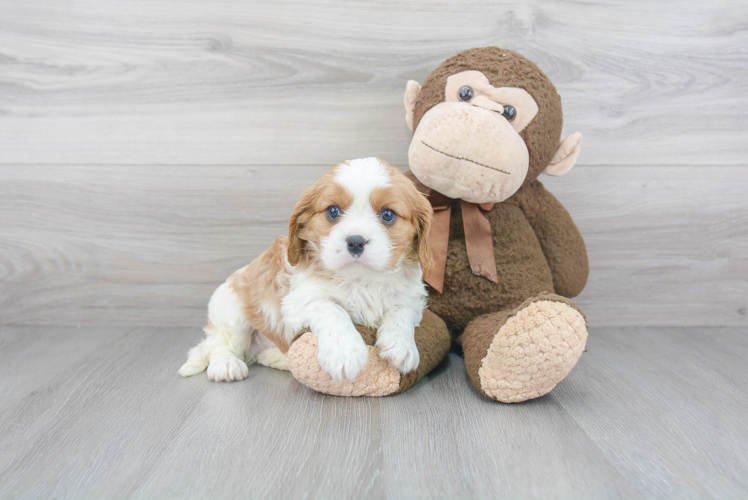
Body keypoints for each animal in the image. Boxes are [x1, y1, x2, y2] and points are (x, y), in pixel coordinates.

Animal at [180, 158, 432, 380]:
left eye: (388, 214)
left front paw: (401, 346)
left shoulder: (412, 299)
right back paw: (226, 365)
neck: (361, 279)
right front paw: (345, 353)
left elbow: (401, 312)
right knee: (219, 345)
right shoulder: (299, 300)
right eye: (332, 211)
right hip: (231, 313)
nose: (355, 242)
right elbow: (332, 309)